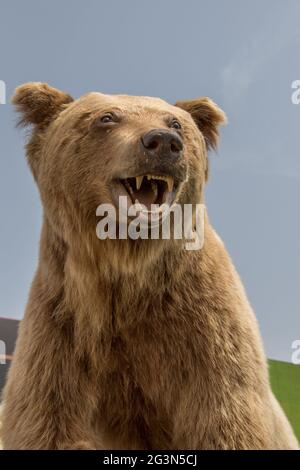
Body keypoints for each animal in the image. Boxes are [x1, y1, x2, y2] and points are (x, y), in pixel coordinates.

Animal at [1, 82, 298, 450]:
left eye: (176, 123)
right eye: (107, 117)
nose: (163, 143)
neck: (128, 263)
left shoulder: (207, 329)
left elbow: (224, 419)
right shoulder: (62, 324)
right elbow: (48, 420)